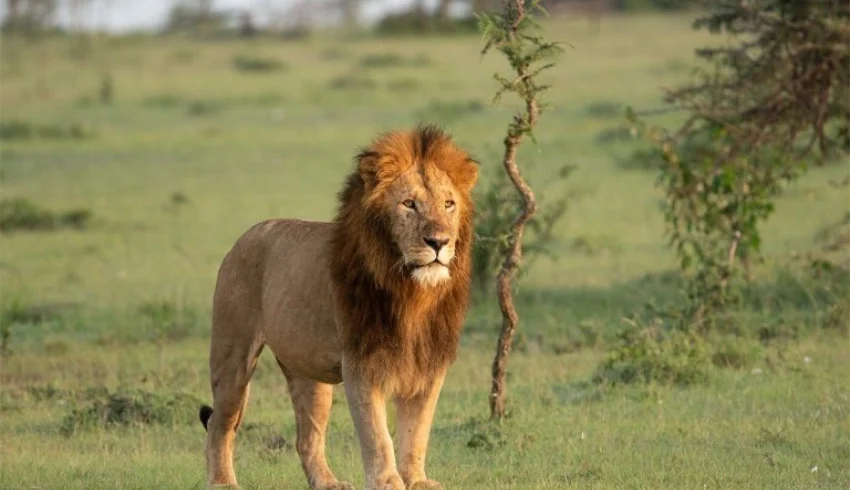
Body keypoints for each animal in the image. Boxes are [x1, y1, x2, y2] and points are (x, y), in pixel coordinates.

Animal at [199, 125, 478, 490]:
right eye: (409, 204)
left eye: (448, 204)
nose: (439, 242)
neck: (412, 294)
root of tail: (246, 235)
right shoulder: (360, 361)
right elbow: (376, 433)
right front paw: (387, 482)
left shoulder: (429, 364)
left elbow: (418, 430)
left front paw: (416, 480)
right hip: (233, 354)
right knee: (220, 424)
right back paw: (223, 482)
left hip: (308, 371)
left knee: (307, 437)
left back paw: (327, 482)